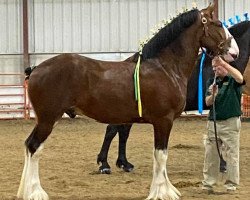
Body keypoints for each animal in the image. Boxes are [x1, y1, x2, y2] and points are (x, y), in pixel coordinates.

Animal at [95, 19, 250, 174]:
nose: (234, 52)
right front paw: (222, 164)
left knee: (123, 132)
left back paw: (124, 163)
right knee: (112, 130)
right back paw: (104, 164)